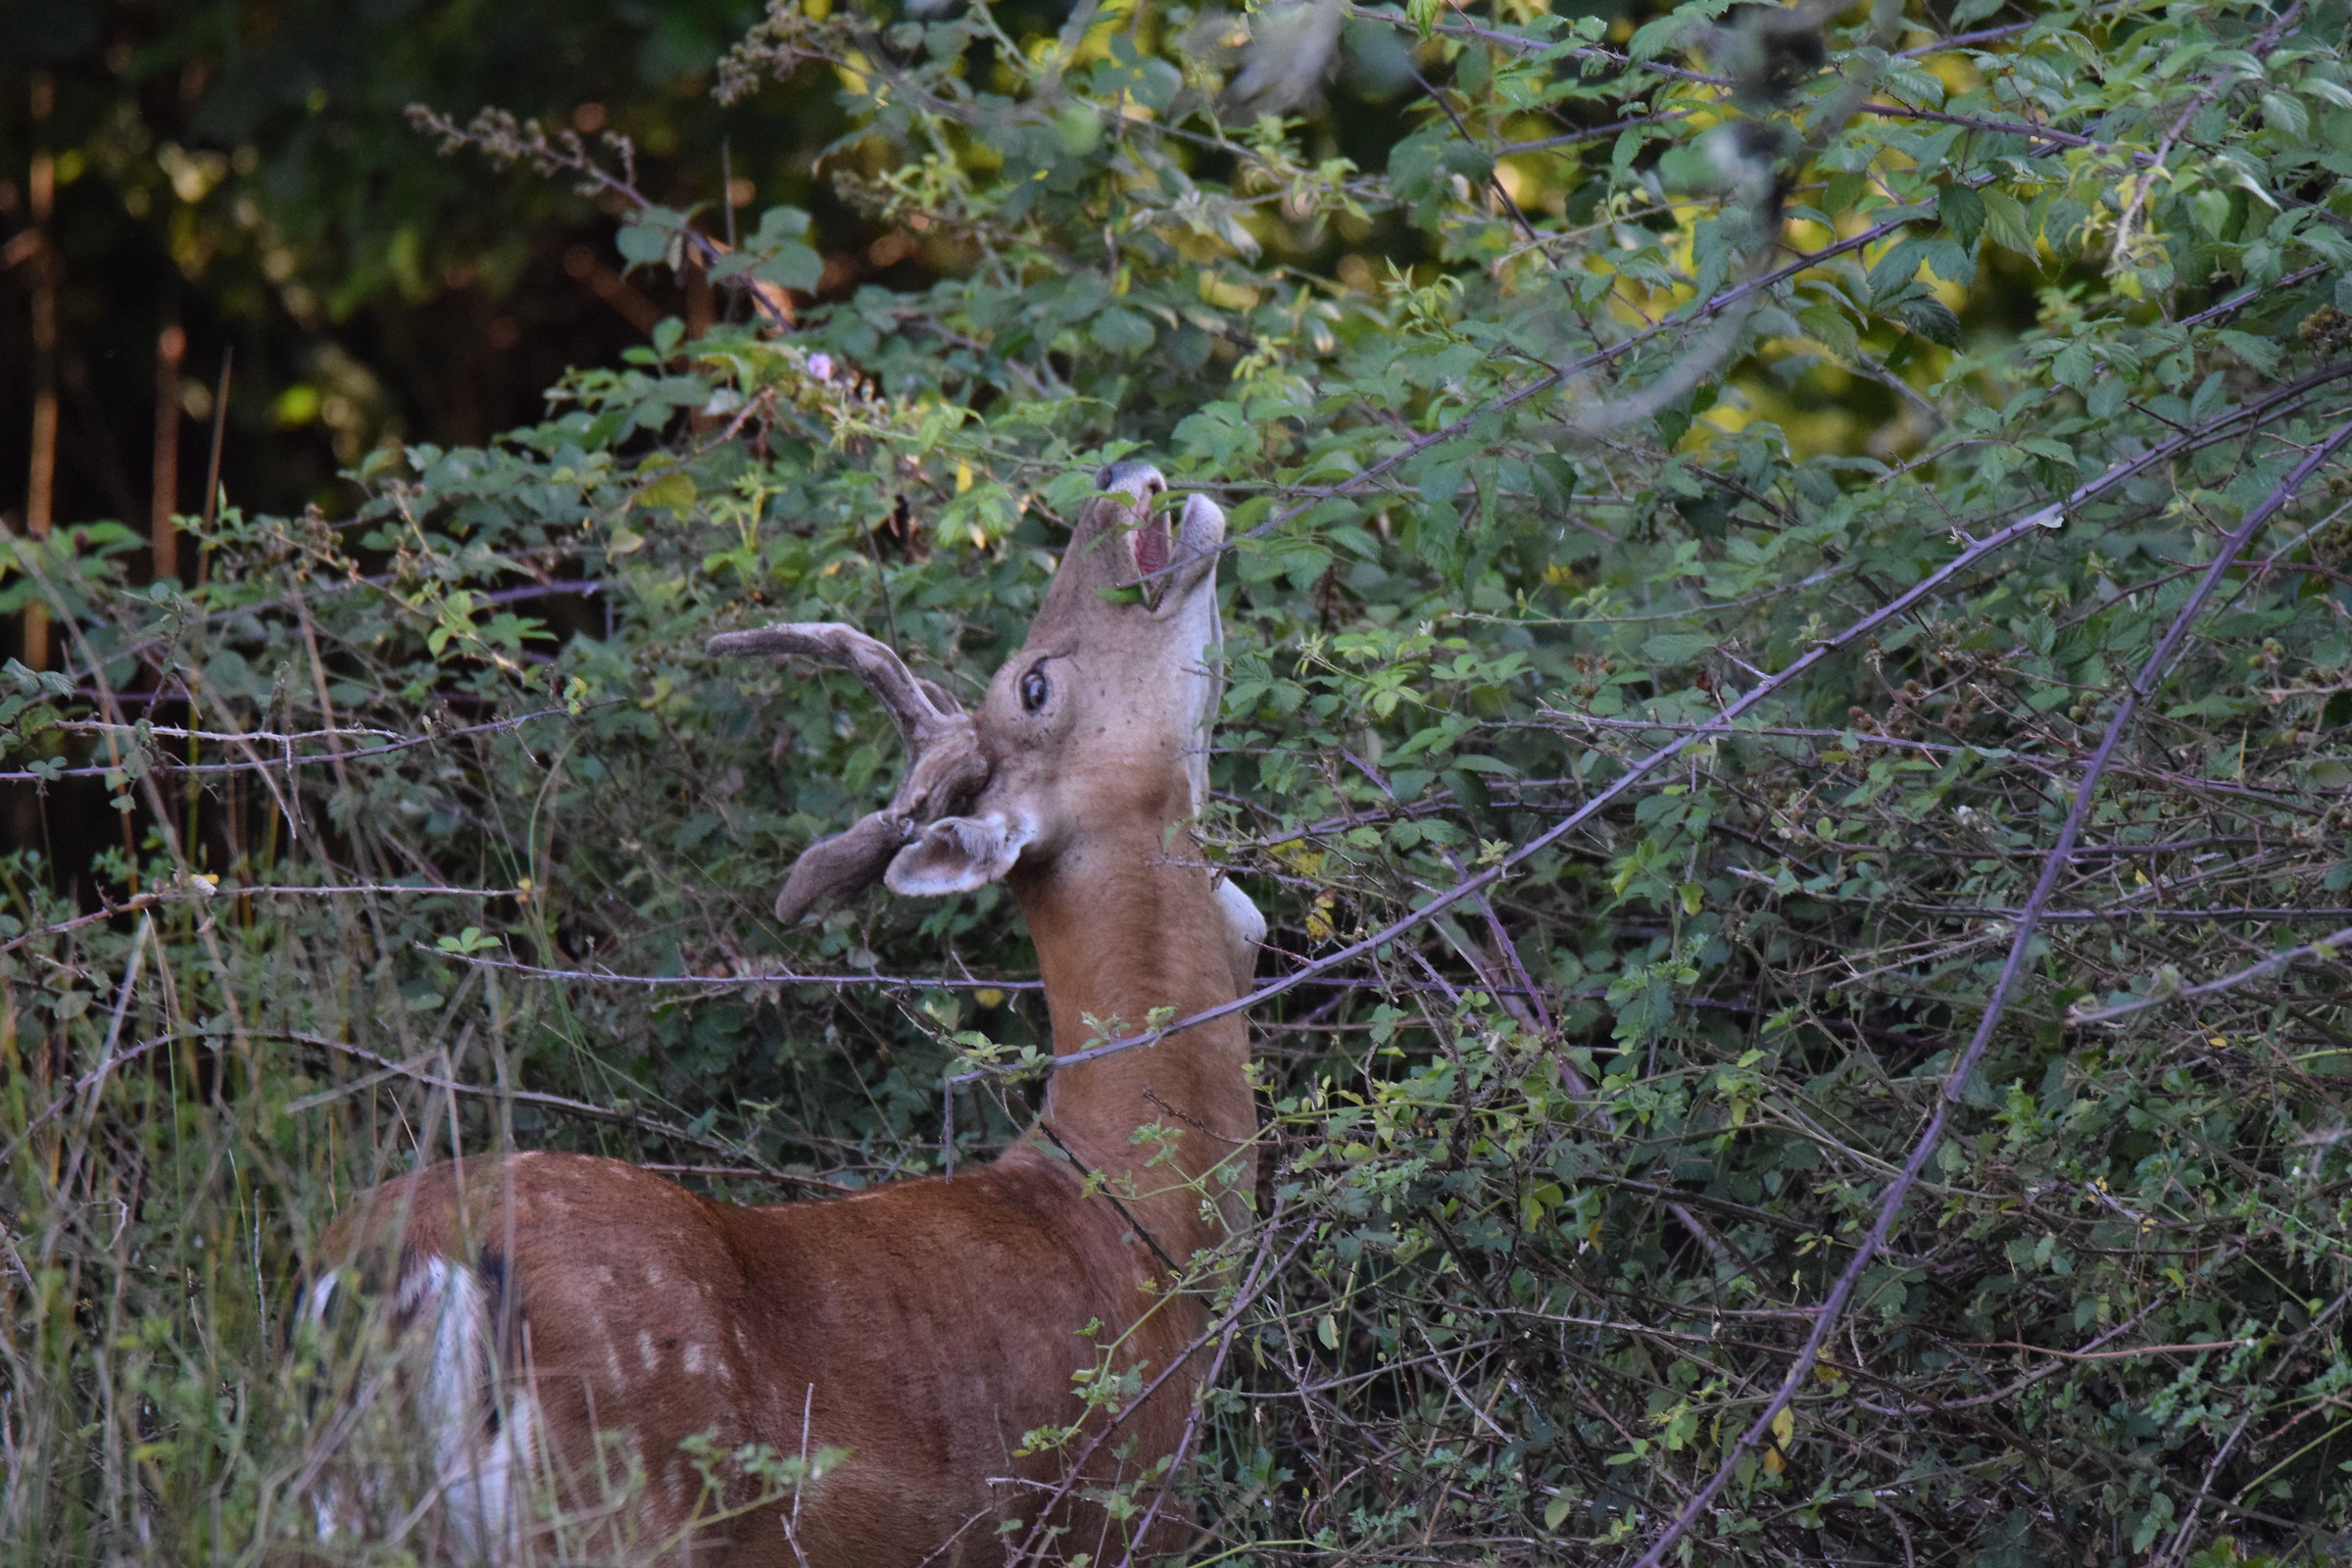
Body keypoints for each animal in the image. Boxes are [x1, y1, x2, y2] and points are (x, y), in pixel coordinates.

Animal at [306, 462, 1265, 1567]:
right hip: (611, 1510)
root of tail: (409, 1265)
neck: (1133, 1221)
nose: (1115, 481)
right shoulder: (1120, 1521)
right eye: (1034, 684)